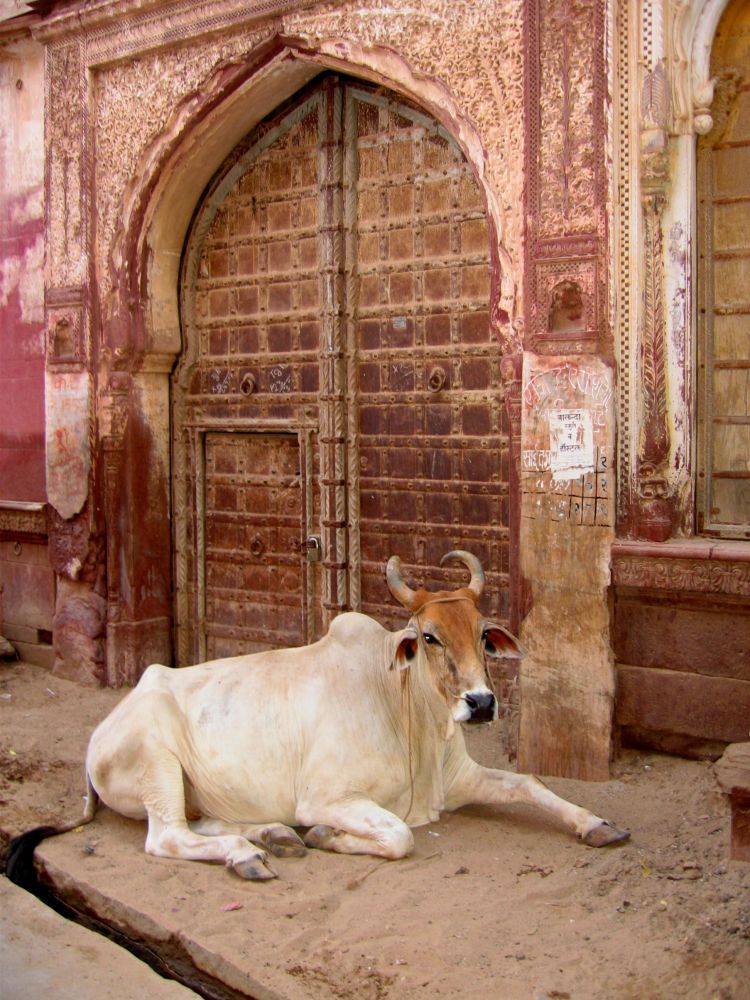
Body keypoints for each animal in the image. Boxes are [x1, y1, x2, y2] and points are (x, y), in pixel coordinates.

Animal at [7, 556, 628, 884]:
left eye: (481, 633)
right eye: (428, 637)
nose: (480, 703)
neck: (408, 712)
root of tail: (100, 733)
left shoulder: (459, 780)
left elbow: (530, 783)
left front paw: (596, 823)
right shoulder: (328, 796)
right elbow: (399, 834)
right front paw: (327, 836)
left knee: (204, 823)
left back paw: (272, 836)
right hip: (156, 762)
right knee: (167, 838)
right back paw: (250, 854)